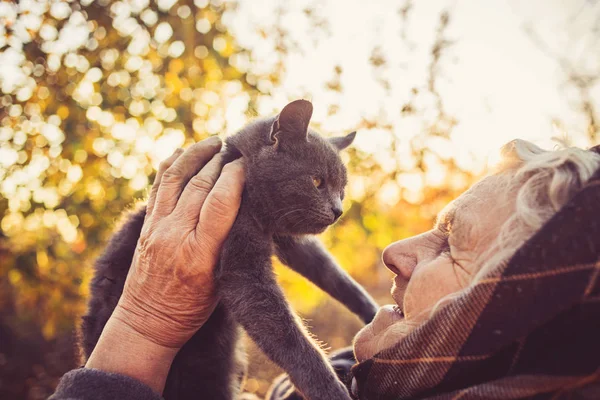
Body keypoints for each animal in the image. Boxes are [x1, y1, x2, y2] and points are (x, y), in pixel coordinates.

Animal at [81, 98, 378, 398]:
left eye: (342, 190)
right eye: (317, 181)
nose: (338, 211)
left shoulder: (288, 239)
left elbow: (331, 273)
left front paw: (373, 313)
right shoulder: (242, 266)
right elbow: (288, 335)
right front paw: (329, 389)